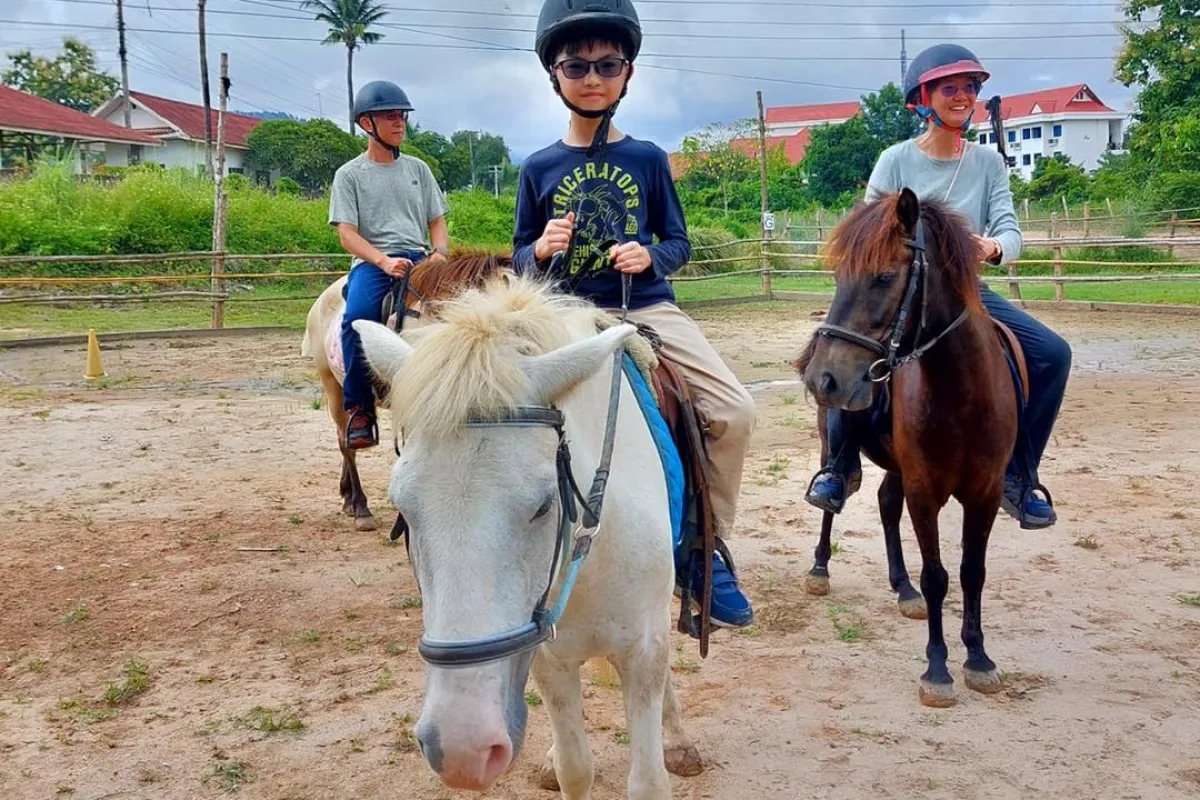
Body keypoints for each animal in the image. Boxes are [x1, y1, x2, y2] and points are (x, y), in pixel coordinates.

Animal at [351, 273, 701, 797]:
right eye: (404, 512)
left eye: (542, 505)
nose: (464, 750)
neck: (589, 557)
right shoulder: (546, 658)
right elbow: (576, 768)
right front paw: (560, 761)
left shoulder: (642, 651)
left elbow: (648, 779)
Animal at [794, 188, 1021, 708]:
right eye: (838, 276)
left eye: (883, 277)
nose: (822, 378)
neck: (962, 395)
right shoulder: (925, 491)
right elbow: (936, 576)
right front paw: (937, 670)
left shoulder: (984, 494)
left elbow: (972, 572)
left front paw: (979, 659)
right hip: (835, 449)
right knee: (831, 504)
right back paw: (820, 568)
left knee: (885, 503)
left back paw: (901, 588)